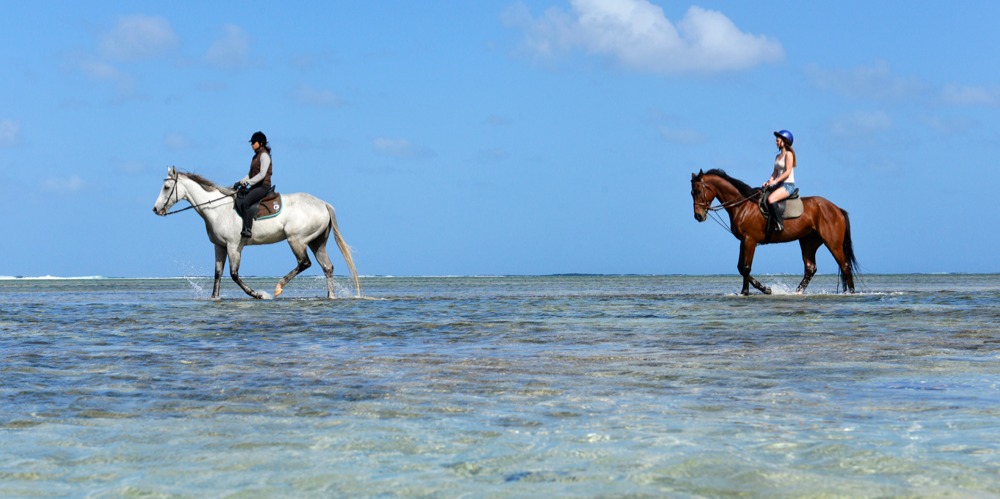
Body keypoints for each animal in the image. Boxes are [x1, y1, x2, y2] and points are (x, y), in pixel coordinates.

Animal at [152, 168, 360, 300]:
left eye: (166, 188)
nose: (155, 209)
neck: (217, 209)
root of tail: (323, 204)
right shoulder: (219, 246)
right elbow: (218, 274)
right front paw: (214, 297)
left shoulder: (234, 246)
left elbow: (234, 275)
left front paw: (258, 294)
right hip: (317, 242)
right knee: (327, 267)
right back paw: (330, 296)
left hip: (296, 240)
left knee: (304, 263)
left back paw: (278, 288)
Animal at [692, 170, 856, 294]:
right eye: (692, 192)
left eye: (699, 191)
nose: (698, 216)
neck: (743, 206)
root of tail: (836, 208)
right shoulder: (743, 241)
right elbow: (740, 267)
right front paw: (765, 289)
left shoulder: (750, 240)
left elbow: (746, 267)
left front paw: (747, 291)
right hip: (808, 242)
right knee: (810, 268)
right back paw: (796, 292)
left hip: (833, 243)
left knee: (845, 266)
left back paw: (851, 292)